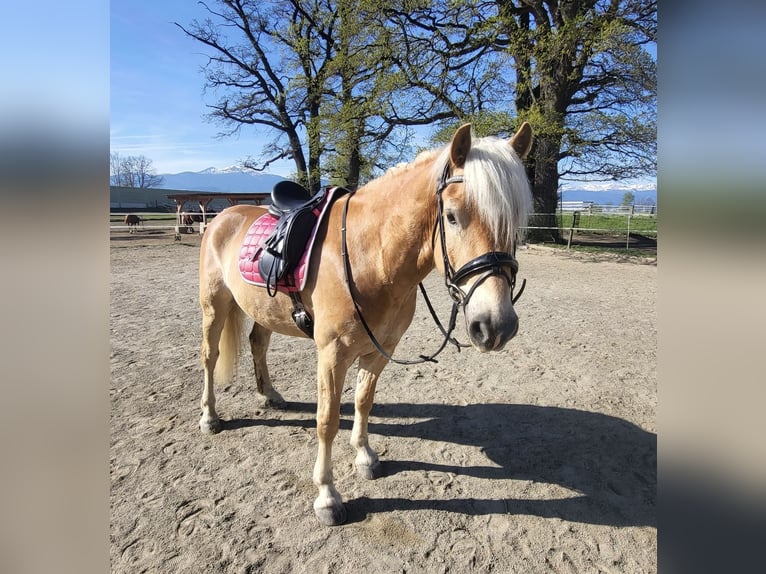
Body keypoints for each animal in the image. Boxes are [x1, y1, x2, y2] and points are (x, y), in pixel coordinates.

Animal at [198, 122, 536, 528]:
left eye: (516, 221)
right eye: (453, 216)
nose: (496, 325)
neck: (371, 254)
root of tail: (224, 216)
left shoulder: (380, 349)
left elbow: (363, 401)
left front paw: (364, 456)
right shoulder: (332, 355)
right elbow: (327, 420)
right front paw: (327, 497)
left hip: (263, 308)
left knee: (257, 343)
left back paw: (270, 395)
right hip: (214, 306)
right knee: (209, 357)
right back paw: (210, 417)